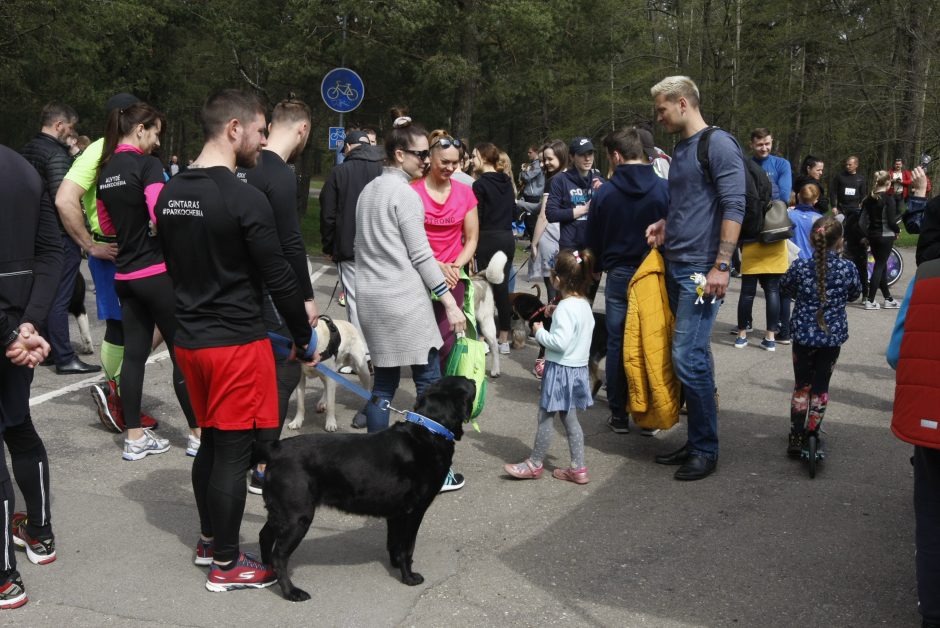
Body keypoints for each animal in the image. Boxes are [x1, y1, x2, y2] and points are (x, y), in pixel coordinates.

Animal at [258, 376, 474, 600]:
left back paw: (268, 572)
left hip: (281, 512)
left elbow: (394, 543)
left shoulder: (396, 513)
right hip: (297, 517)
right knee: (279, 555)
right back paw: (291, 591)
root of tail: (276, 449)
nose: (474, 379)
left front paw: (395, 565)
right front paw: (409, 577)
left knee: (265, 537)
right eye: (468, 384)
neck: (429, 430)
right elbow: (407, 548)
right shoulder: (414, 512)